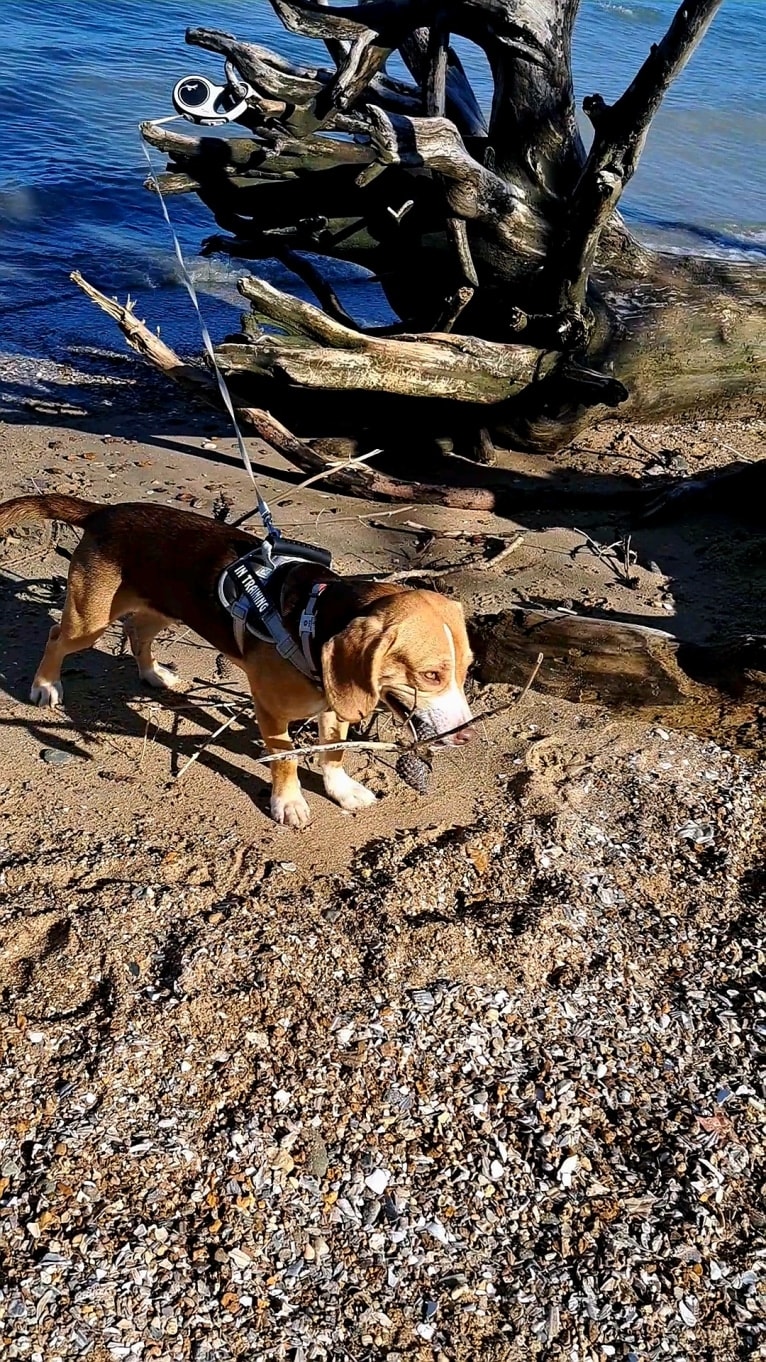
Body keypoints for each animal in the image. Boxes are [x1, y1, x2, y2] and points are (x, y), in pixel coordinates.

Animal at [1, 495, 471, 822]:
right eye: (431, 675)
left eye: (467, 671)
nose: (467, 737)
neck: (312, 618)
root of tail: (107, 512)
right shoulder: (271, 710)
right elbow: (285, 758)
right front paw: (289, 803)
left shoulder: (334, 703)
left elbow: (333, 754)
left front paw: (341, 789)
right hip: (90, 620)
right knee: (56, 637)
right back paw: (46, 685)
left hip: (163, 609)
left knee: (137, 634)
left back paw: (155, 676)